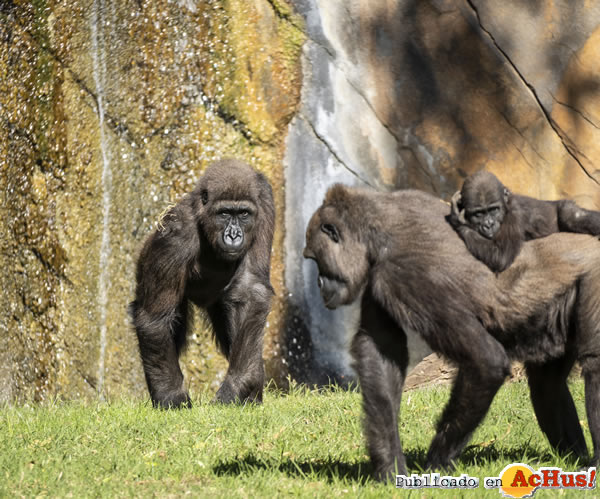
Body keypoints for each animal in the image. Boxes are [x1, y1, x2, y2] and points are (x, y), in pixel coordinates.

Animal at [130, 160, 276, 410]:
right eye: (224, 213)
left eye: (243, 214)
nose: (234, 235)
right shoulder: (176, 233)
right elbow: (154, 319)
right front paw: (172, 398)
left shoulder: (265, 201)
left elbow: (250, 289)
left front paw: (238, 385)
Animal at [304, 186, 600, 482]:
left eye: (314, 259)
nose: (318, 283)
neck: (380, 224)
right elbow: (381, 356)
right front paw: (390, 467)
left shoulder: (406, 275)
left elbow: (486, 361)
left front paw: (437, 462)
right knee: (546, 384)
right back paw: (573, 458)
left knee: (593, 367)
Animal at [448, 172, 600, 274]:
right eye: (478, 214)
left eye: (493, 210)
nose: (489, 224)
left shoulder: (515, 214)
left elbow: (501, 256)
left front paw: (456, 217)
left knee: (571, 216)